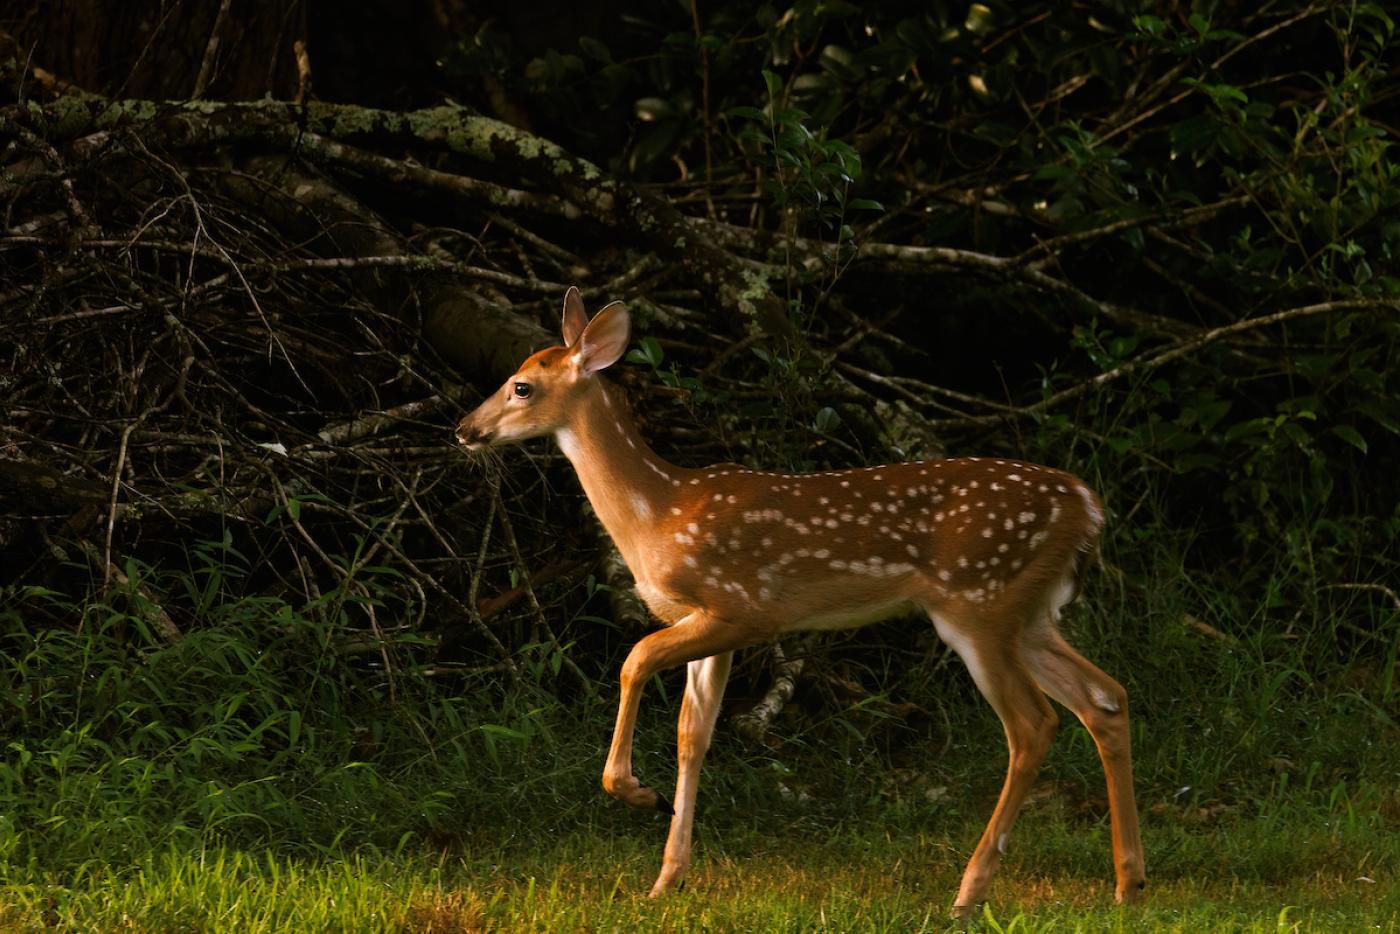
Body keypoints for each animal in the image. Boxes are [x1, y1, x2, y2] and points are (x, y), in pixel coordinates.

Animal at [456, 287, 1145, 917]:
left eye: (521, 386)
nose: (464, 430)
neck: (658, 514)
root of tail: (1087, 506)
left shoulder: (744, 607)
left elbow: (634, 659)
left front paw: (635, 792)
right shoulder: (709, 626)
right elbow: (692, 734)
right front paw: (667, 877)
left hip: (980, 602)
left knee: (1033, 724)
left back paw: (969, 892)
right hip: (1029, 613)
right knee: (1105, 697)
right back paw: (1128, 883)